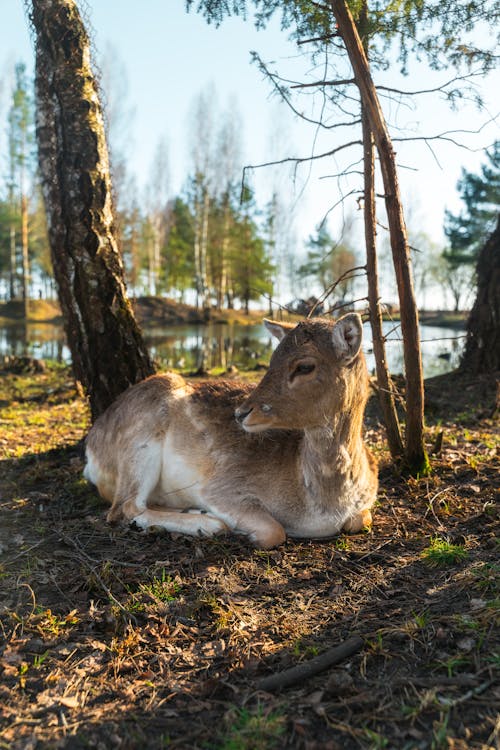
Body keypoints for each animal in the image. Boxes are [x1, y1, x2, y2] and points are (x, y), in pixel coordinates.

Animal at [84, 314, 376, 548]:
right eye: (272, 359)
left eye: (305, 366)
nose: (241, 412)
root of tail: (90, 449)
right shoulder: (222, 487)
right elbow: (274, 530)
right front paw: (241, 532)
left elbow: (360, 519)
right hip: (140, 437)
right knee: (124, 507)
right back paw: (208, 524)